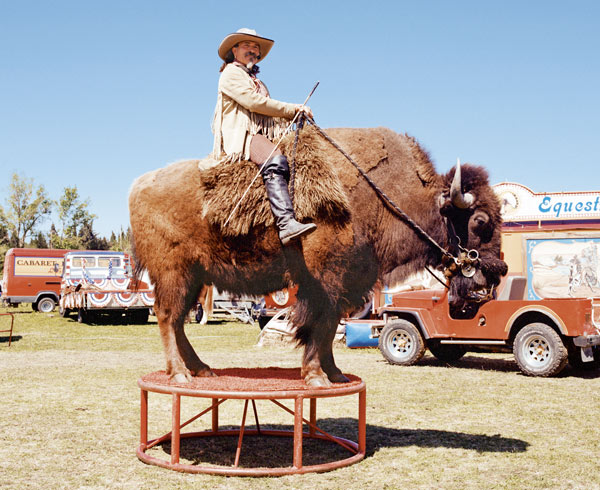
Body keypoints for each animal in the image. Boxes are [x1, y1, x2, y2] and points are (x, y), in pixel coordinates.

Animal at [130, 125, 506, 386]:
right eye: (480, 221)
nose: (496, 273)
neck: (384, 196)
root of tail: (138, 186)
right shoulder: (325, 279)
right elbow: (319, 323)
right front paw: (316, 376)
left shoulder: (347, 283)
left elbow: (328, 326)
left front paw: (335, 373)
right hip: (174, 273)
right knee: (167, 316)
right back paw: (180, 374)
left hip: (195, 277)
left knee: (178, 320)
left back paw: (201, 369)